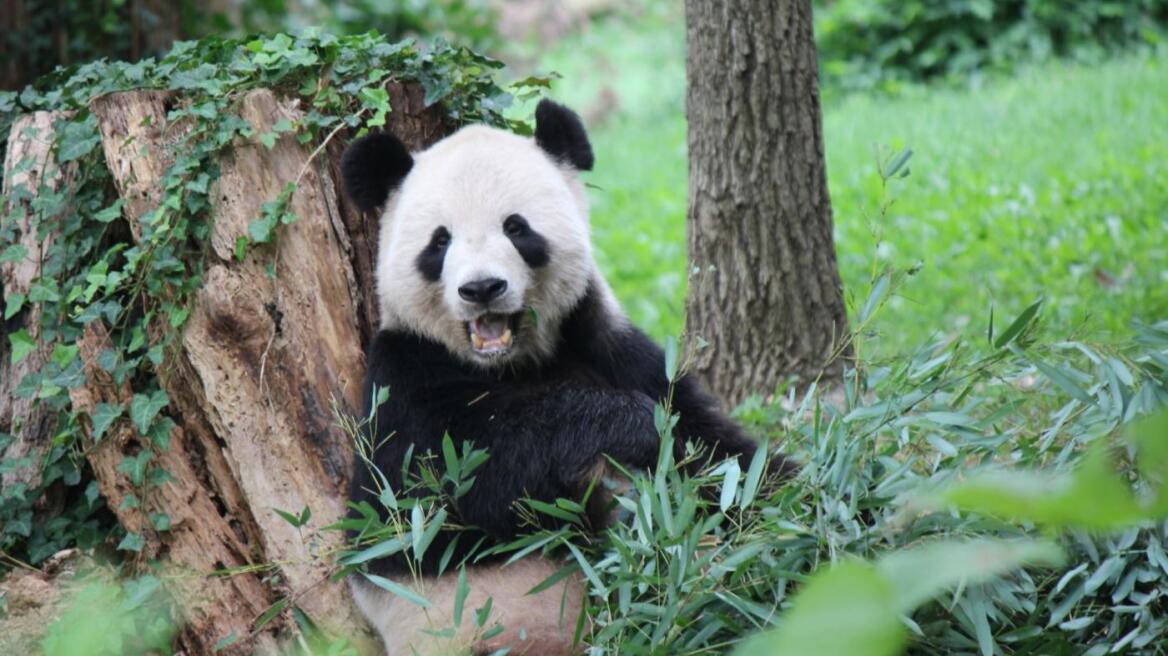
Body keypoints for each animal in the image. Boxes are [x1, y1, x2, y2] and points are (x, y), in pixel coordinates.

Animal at [341, 98, 789, 653]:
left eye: (517, 228)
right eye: (439, 242)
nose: (482, 288)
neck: (513, 362)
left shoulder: (605, 343)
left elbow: (714, 450)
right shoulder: (402, 380)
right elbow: (436, 495)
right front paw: (627, 427)